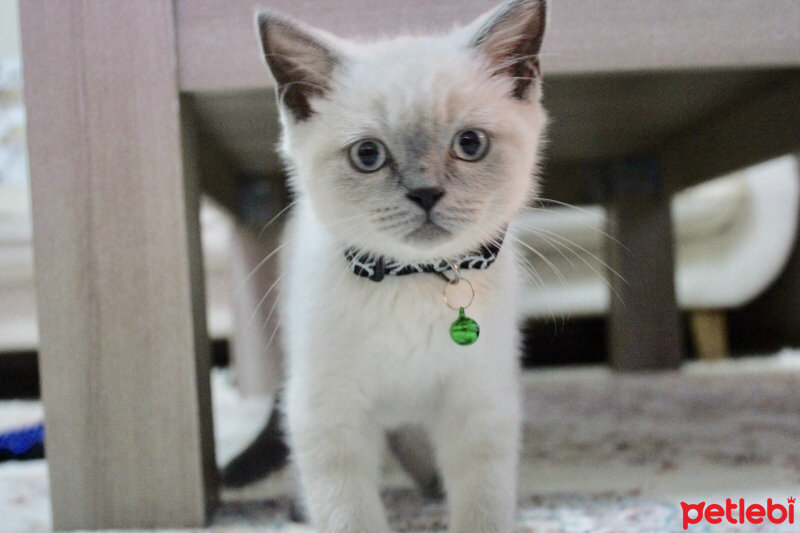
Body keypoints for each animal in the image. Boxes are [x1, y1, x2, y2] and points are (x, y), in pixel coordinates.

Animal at [250, 2, 552, 528]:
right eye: (368, 155)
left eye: (470, 144)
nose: (426, 193)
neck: (414, 279)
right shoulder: (327, 407)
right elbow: (347, 510)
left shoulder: (478, 399)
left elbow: (483, 500)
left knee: (408, 436)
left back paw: (431, 486)